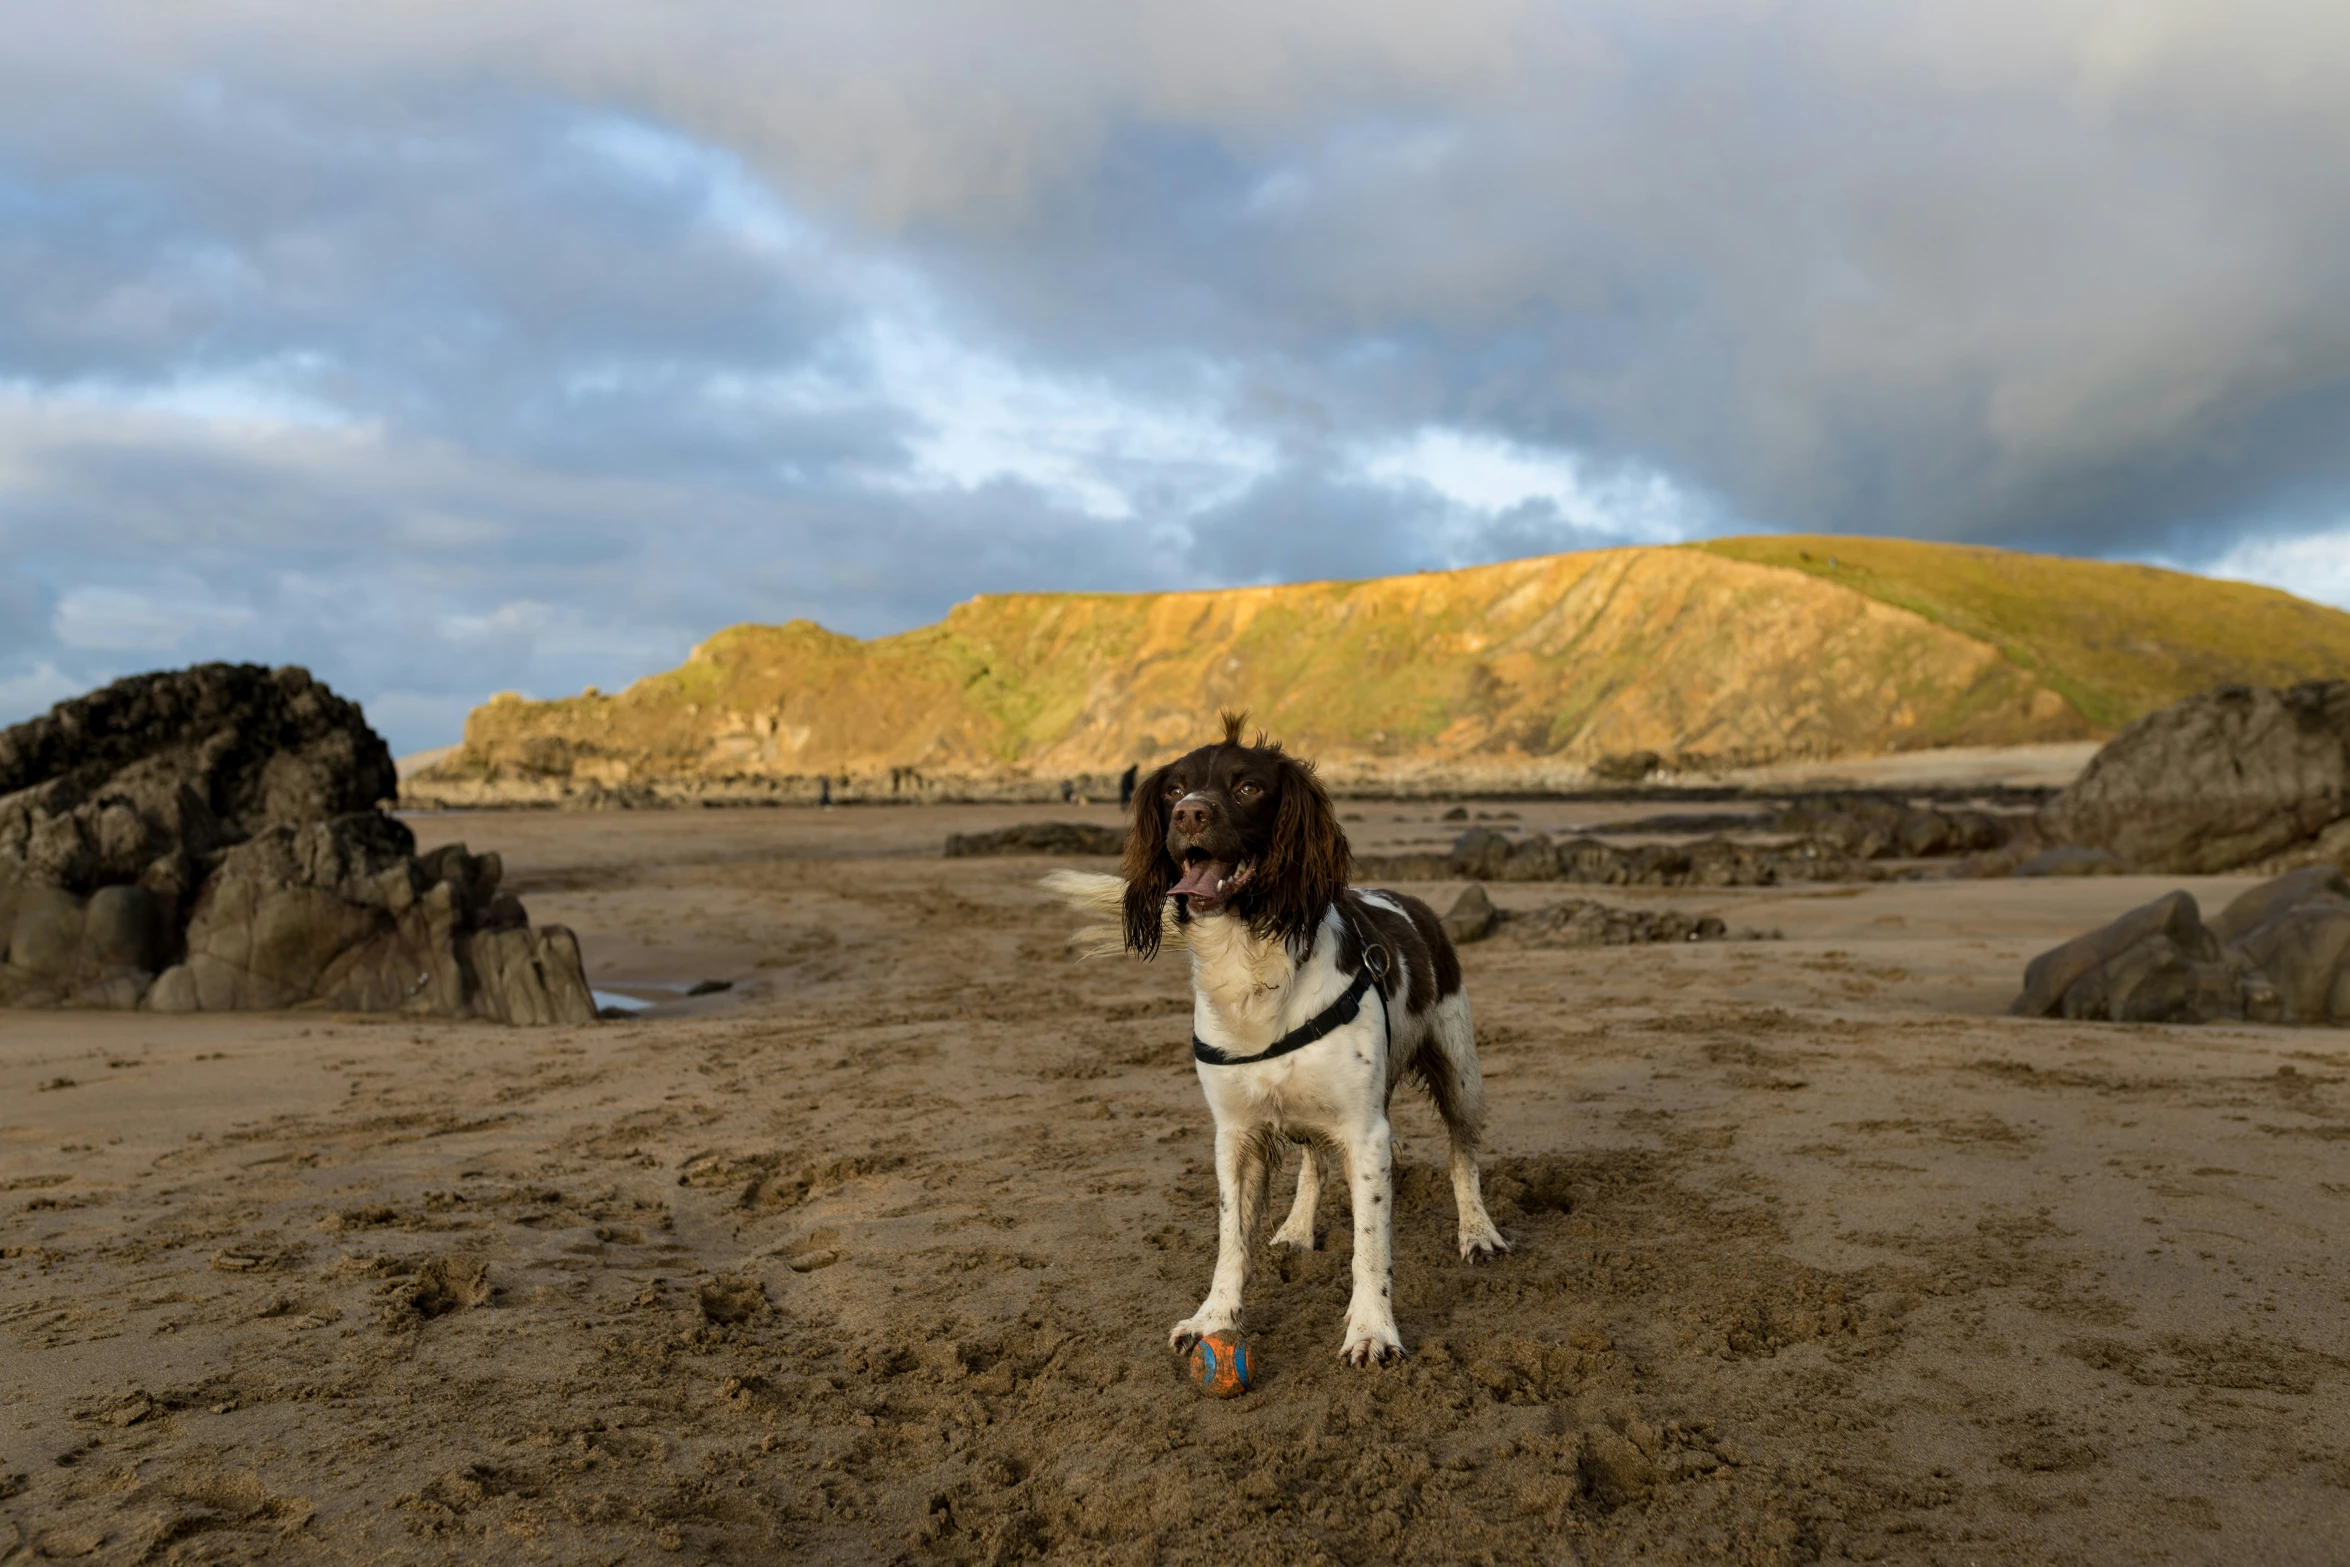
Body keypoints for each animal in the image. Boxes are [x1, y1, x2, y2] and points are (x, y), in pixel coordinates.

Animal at [1052, 718, 1504, 1362]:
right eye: (1174, 789)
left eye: (1248, 788)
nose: (1189, 814)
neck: (1251, 966)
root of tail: (1418, 905)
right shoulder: (1236, 1133)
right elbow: (1231, 1239)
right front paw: (1213, 1319)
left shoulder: (1365, 1130)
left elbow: (1370, 1244)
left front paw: (1372, 1330)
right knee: (1315, 1161)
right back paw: (1295, 1228)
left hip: (1460, 1070)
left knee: (1462, 1151)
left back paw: (1478, 1232)